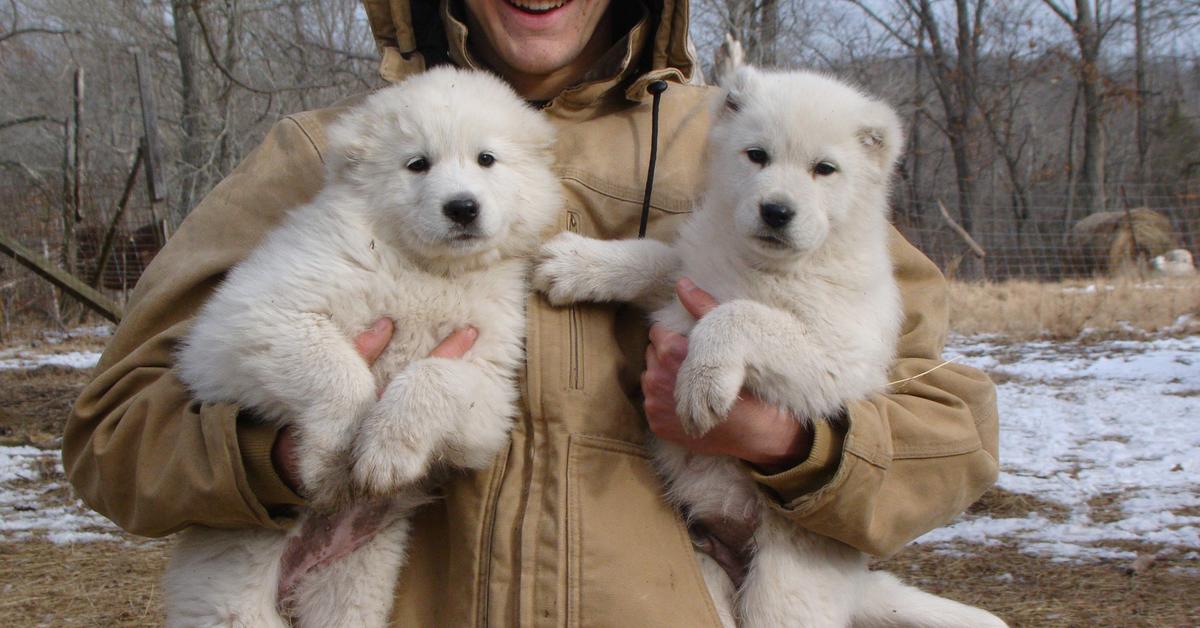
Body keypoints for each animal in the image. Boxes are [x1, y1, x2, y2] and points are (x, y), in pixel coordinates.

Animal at [164, 66, 561, 624]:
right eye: (417, 164)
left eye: (487, 159)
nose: (462, 207)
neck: (427, 270)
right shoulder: (247, 320)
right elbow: (335, 366)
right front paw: (332, 455)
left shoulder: (489, 384)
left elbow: (434, 376)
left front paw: (388, 452)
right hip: (231, 585)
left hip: (354, 579)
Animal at [532, 56, 1003, 624]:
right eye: (756, 155)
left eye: (825, 169)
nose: (776, 211)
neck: (765, 268)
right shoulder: (690, 279)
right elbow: (655, 257)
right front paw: (577, 264)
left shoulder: (836, 356)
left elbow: (740, 315)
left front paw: (702, 382)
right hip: (704, 562)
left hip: (785, 579)